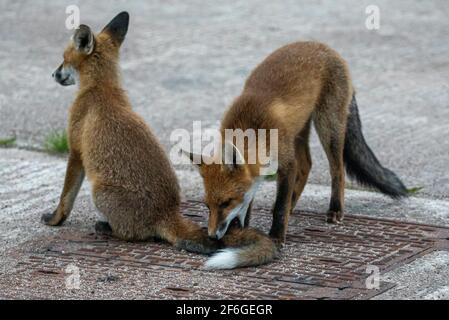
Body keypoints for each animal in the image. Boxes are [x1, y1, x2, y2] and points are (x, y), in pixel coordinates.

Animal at [43, 11, 278, 268]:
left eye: (63, 59)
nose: (53, 74)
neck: (101, 89)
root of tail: (167, 213)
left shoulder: (76, 151)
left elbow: (66, 197)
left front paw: (55, 220)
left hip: (99, 192)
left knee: (132, 235)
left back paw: (105, 227)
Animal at [184, 41, 408, 244]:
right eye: (207, 206)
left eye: (226, 202)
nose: (212, 236)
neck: (252, 126)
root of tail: (325, 47)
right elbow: (251, 201)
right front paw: (245, 229)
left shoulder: (286, 163)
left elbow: (279, 206)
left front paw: (276, 236)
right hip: (299, 132)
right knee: (307, 165)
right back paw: (295, 206)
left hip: (328, 127)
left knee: (337, 171)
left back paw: (335, 209)